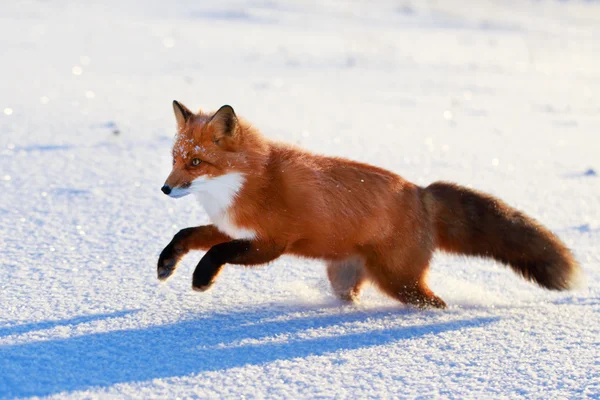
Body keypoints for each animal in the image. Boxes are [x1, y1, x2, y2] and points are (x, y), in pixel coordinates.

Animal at [157, 101, 580, 308]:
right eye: (174, 159)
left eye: (196, 163)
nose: (164, 189)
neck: (251, 182)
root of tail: (420, 192)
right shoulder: (231, 227)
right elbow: (187, 234)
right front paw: (166, 263)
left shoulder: (271, 243)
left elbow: (217, 252)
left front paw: (201, 278)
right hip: (345, 277)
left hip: (399, 282)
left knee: (434, 302)